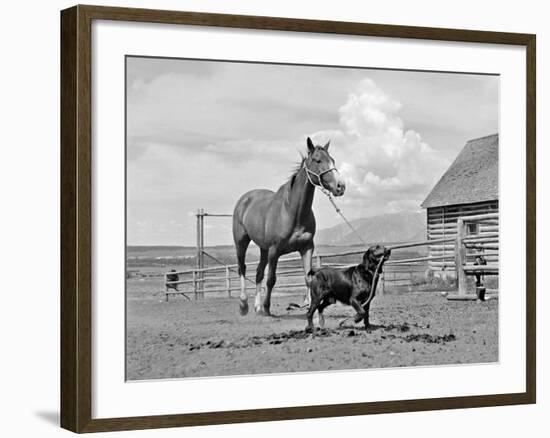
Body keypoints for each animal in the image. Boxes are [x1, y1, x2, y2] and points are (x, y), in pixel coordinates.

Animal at [232, 137, 344, 314]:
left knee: (258, 272)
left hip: (263, 249)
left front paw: (310, 307)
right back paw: (244, 304)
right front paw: (267, 308)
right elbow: (271, 279)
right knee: (242, 268)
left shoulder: (306, 248)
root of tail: (244, 199)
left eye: (332, 160)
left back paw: (257, 307)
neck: (292, 211)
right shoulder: (274, 251)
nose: (340, 186)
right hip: (241, 242)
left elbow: (308, 278)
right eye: (318, 160)